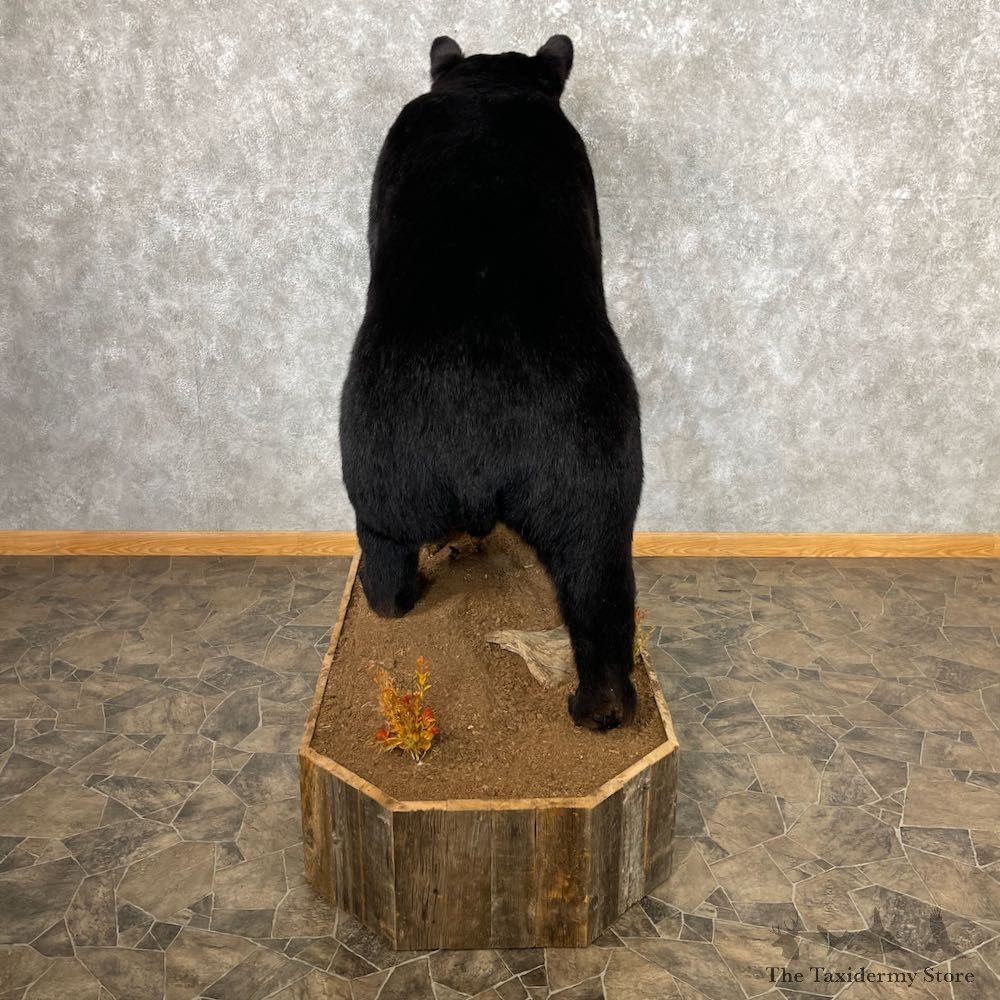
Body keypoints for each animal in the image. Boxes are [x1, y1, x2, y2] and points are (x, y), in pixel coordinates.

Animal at [339, 35, 644, 730]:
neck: (488, 89)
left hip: (384, 479)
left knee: (386, 565)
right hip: (590, 493)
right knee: (599, 601)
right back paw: (598, 708)